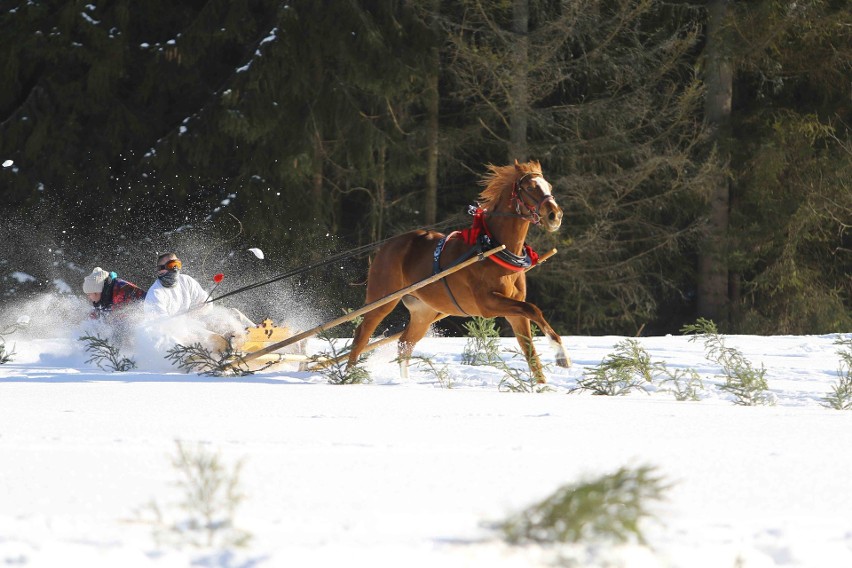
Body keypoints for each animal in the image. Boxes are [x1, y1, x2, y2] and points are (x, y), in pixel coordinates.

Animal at [346, 160, 572, 382]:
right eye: (530, 187)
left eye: (549, 186)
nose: (555, 215)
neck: (492, 248)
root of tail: (387, 245)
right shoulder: (487, 304)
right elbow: (533, 309)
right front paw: (560, 353)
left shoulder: (516, 312)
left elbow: (531, 351)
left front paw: (546, 380)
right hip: (382, 300)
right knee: (361, 335)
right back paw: (349, 376)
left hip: (423, 311)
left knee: (404, 343)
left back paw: (404, 382)